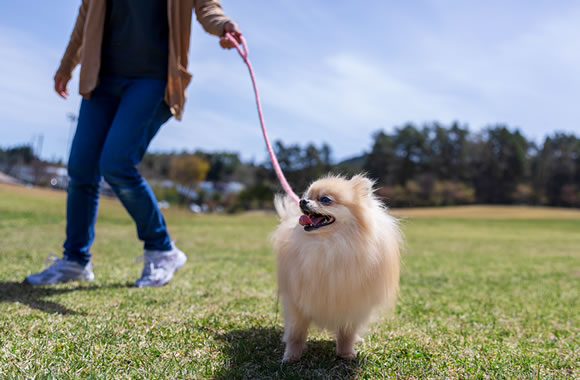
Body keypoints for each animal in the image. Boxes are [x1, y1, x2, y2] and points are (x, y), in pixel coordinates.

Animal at [270, 174, 398, 360]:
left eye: (325, 199)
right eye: (307, 196)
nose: (302, 201)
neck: (329, 245)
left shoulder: (352, 302)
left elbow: (347, 332)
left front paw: (346, 353)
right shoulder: (297, 301)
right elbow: (296, 332)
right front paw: (292, 356)